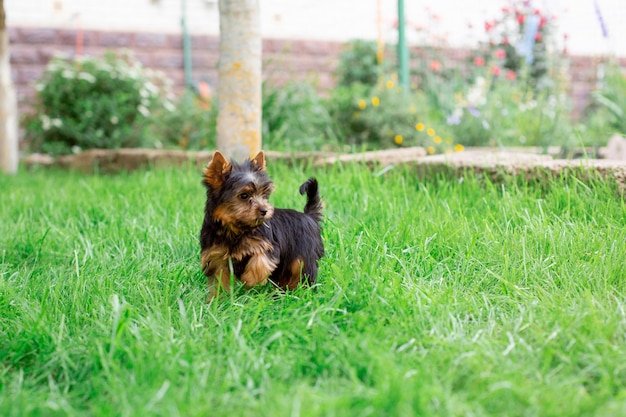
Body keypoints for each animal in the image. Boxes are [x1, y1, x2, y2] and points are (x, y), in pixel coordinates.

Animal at [200, 150, 324, 300]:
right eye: (244, 195)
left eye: (264, 194)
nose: (265, 210)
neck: (235, 229)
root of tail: (309, 216)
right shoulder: (216, 256)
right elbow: (218, 279)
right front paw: (217, 300)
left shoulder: (268, 244)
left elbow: (261, 259)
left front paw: (251, 280)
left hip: (304, 254)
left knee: (302, 271)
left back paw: (304, 293)